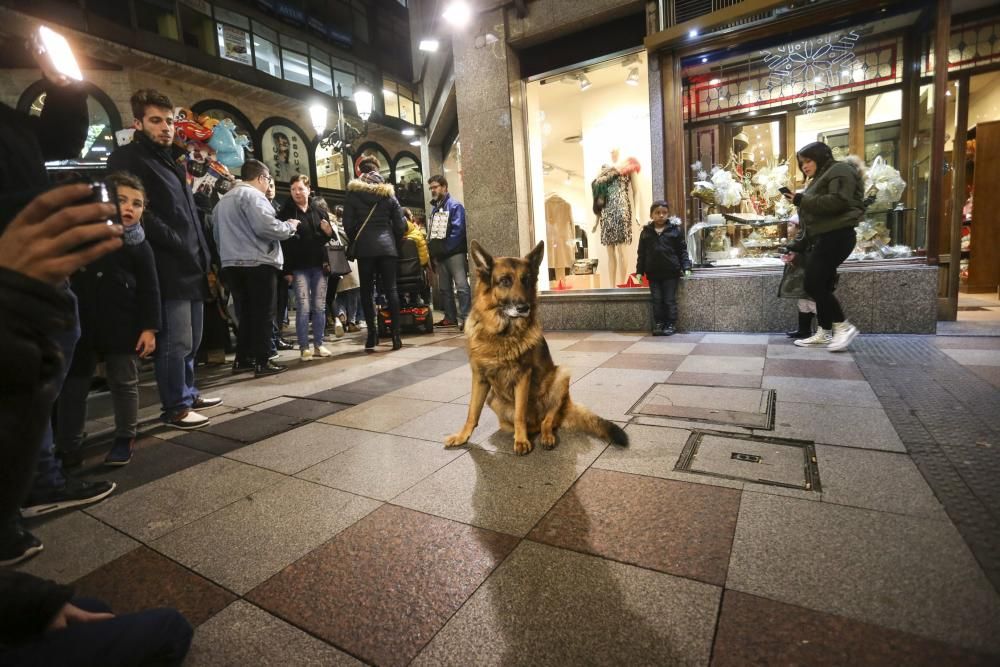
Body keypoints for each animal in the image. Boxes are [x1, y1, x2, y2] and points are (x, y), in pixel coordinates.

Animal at [444, 243, 624, 456]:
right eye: (504, 281)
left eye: (526, 280)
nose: (524, 308)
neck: (501, 335)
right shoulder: (479, 378)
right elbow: (472, 412)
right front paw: (463, 436)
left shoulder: (523, 376)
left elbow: (520, 413)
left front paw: (521, 441)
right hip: (493, 399)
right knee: (527, 424)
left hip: (561, 376)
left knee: (548, 420)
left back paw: (545, 436)